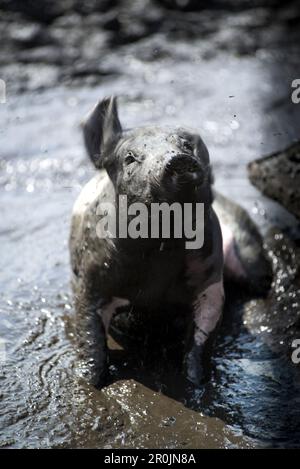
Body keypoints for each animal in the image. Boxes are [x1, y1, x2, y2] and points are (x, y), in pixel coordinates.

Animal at [69, 95, 272, 388]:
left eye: (187, 145)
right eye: (130, 158)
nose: (178, 159)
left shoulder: (210, 281)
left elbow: (203, 337)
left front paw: (196, 383)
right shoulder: (91, 279)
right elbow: (89, 336)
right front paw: (89, 382)